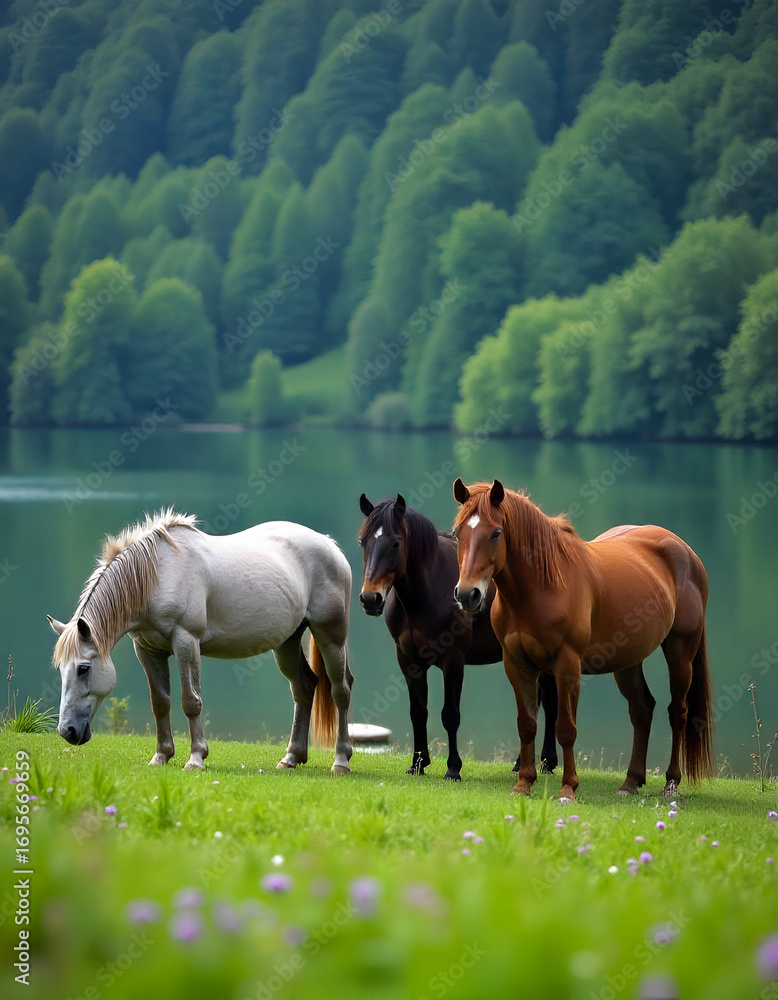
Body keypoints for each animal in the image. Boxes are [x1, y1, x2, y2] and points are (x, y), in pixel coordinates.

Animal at [48, 509, 354, 774]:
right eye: (60, 670)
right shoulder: (147, 650)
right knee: (304, 688)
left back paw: (341, 761)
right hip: (287, 642)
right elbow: (160, 702)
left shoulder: (186, 641)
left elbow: (190, 701)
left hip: (330, 635)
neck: (159, 574)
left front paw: (196, 758)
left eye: (83, 668)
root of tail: (330, 545)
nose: (67, 731)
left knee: (341, 690)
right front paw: (161, 756)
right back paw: (291, 757)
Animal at [358, 493, 558, 780]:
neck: (426, 594)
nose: (370, 599)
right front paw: (418, 763)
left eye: (396, 543)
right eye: (363, 541)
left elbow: (450, 715)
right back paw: (522, 763)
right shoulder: (409, 660)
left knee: (550, 701)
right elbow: (418, 712)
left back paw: (547, 761)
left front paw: (453, 768)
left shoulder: (453, 660)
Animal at [452, 479, 714, 802]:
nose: (467, 595)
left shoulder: (567, 664)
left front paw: (568, 789)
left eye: (496, 533)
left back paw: (671, 783)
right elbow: (527, 725)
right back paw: (630, 782)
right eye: (457, 533)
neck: (539, 588)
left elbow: (565, 727)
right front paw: (523, 784)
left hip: (680, 653)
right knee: (641, 711)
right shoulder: (517, 664)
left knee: (677, 713)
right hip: (627, 662)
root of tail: (684, 549)